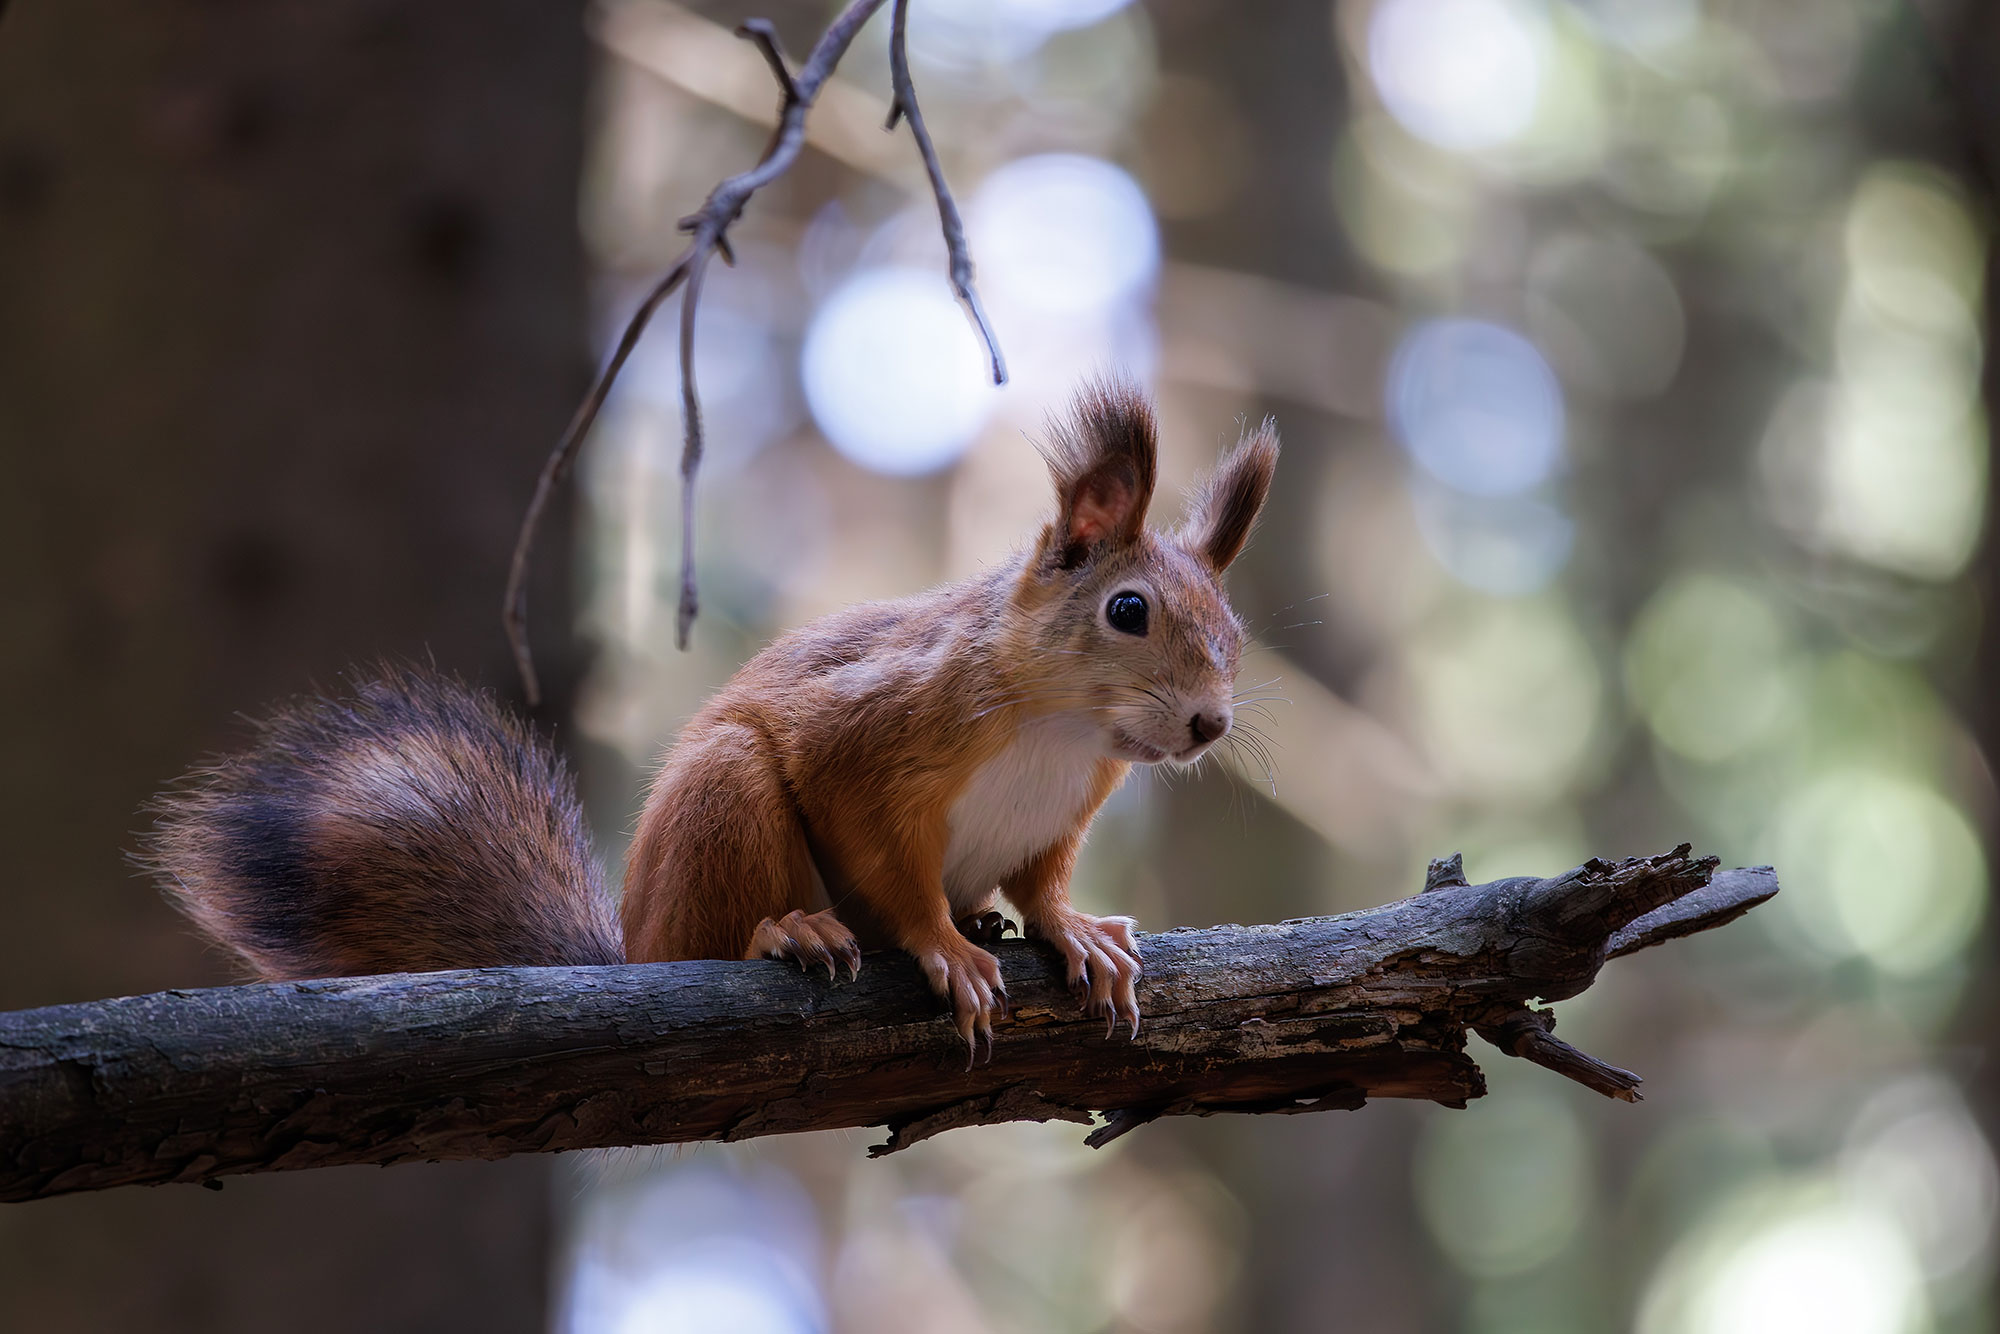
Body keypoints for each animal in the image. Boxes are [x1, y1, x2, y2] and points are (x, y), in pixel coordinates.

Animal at [152, 384, 1280, 1056]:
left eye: (1234, 628)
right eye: (1127, 611)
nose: (1207, 724)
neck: (1060, 732)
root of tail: (632, 946)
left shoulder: (1065, 811)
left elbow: (1042, 880)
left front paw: (1073, 929)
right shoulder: (872, 736)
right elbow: (881, 853)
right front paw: (939, 945)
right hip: (723, 800)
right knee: (717, 929)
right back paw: (786, 930)